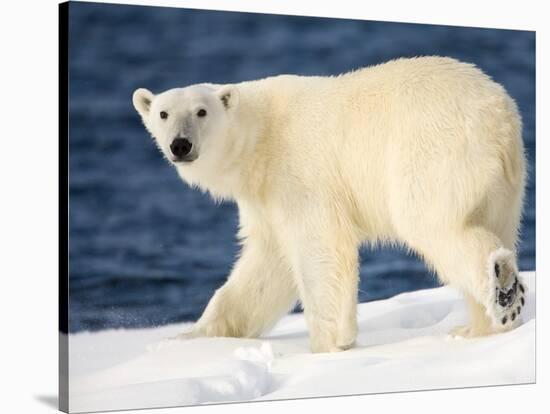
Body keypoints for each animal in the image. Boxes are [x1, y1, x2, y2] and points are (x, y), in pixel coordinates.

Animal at [134, 55, 532, 352]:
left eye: (201, 111)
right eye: (163, 114)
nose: (180, 145)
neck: (260, 138)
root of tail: (498, 115)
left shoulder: (298, 174)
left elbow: (319, 246)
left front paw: (329, 344)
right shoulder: (263, 197)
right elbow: (266, 264)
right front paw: (193, 336)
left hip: (432, 151)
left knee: (430, 222)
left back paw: (501, 290)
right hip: (505, 183)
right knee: (495, 222)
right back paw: (479, 328)